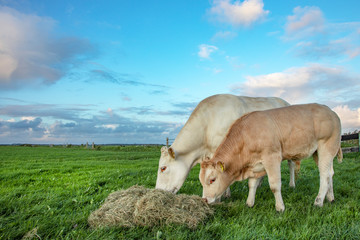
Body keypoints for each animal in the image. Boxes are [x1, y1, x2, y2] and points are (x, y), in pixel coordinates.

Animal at [155, 94, 296, 195]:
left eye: (163, 168)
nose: (157, 191)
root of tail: (285, 102)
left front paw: (225, 194)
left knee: (291, 164)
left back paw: (292, 184)